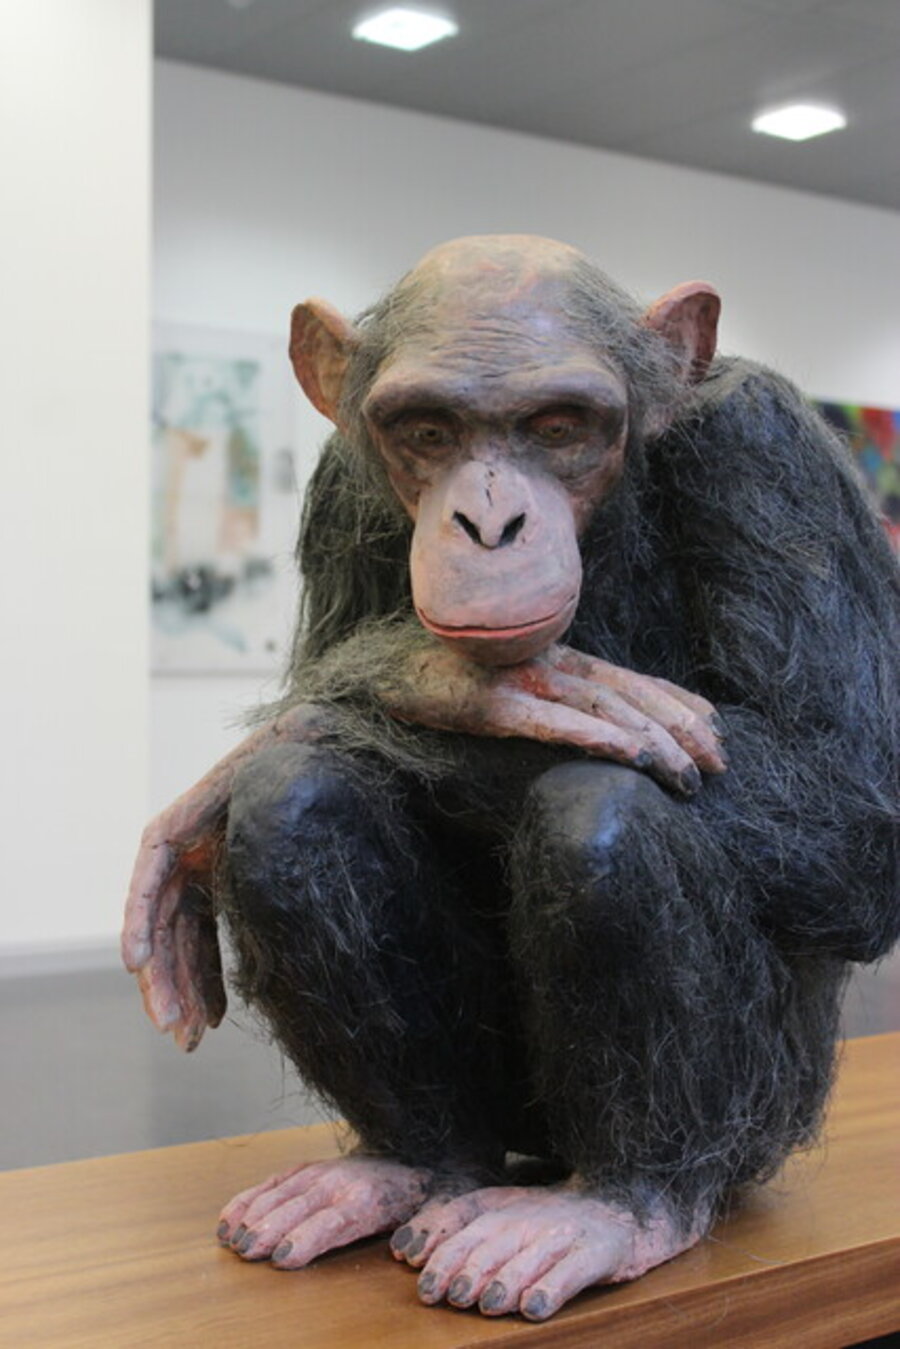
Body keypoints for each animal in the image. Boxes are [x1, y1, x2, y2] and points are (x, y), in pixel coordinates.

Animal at [124, 235, 900, 1322]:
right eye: (428, 429)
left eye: (560, 424)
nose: (488, 521)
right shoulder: (342, 488)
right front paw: (437, 683)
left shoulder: (768, 452)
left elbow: (853, 808)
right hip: (502, 1124)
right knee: (296, 803)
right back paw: (404, 1163)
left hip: (769, 1125)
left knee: (601, 811)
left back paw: (620, 1204)